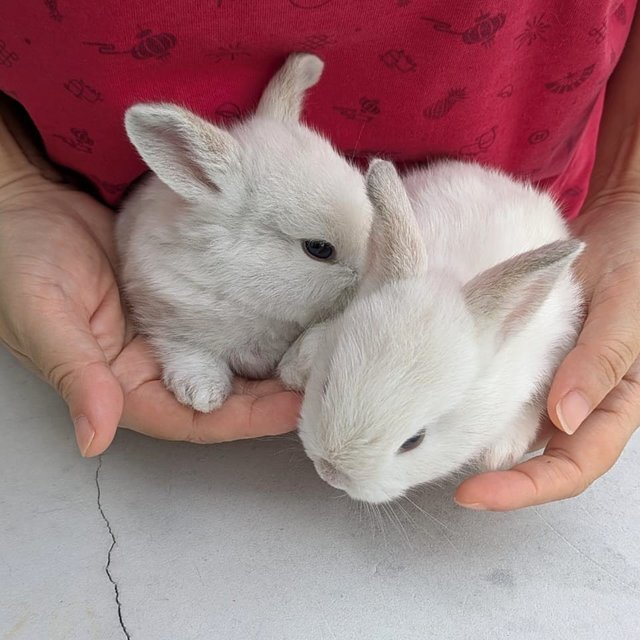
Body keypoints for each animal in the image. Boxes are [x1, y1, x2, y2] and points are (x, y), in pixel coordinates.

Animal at [116, 53, 372, 413]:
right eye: (318, 248)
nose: (371, 271)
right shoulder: (165, 314)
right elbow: (187, 349)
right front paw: (202, 394)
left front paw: (296, 369)